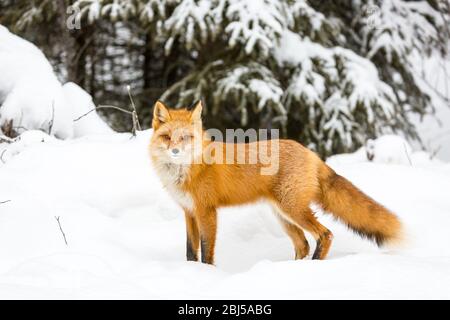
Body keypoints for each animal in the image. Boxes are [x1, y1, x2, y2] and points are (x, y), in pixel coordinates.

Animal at [149, 100, 402, 264]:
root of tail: (310, 152)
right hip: (282, 215)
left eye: (186, 138)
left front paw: (206, 274)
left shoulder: (207, 211)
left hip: (292, 209)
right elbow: (190, 251)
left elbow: (206, 251)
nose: (175, 151)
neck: (187, 171)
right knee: (303, 244)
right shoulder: (189, 212)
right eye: (167, 137)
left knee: (325, 235)